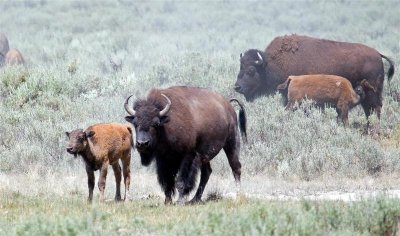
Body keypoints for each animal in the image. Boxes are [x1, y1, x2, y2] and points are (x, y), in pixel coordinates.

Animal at [236, 34, 396, 120]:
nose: (237, 87)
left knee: (374, 109)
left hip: (372, 93)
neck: (270, 64)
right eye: (240, 67)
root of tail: (378, 54)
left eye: (251, 70)